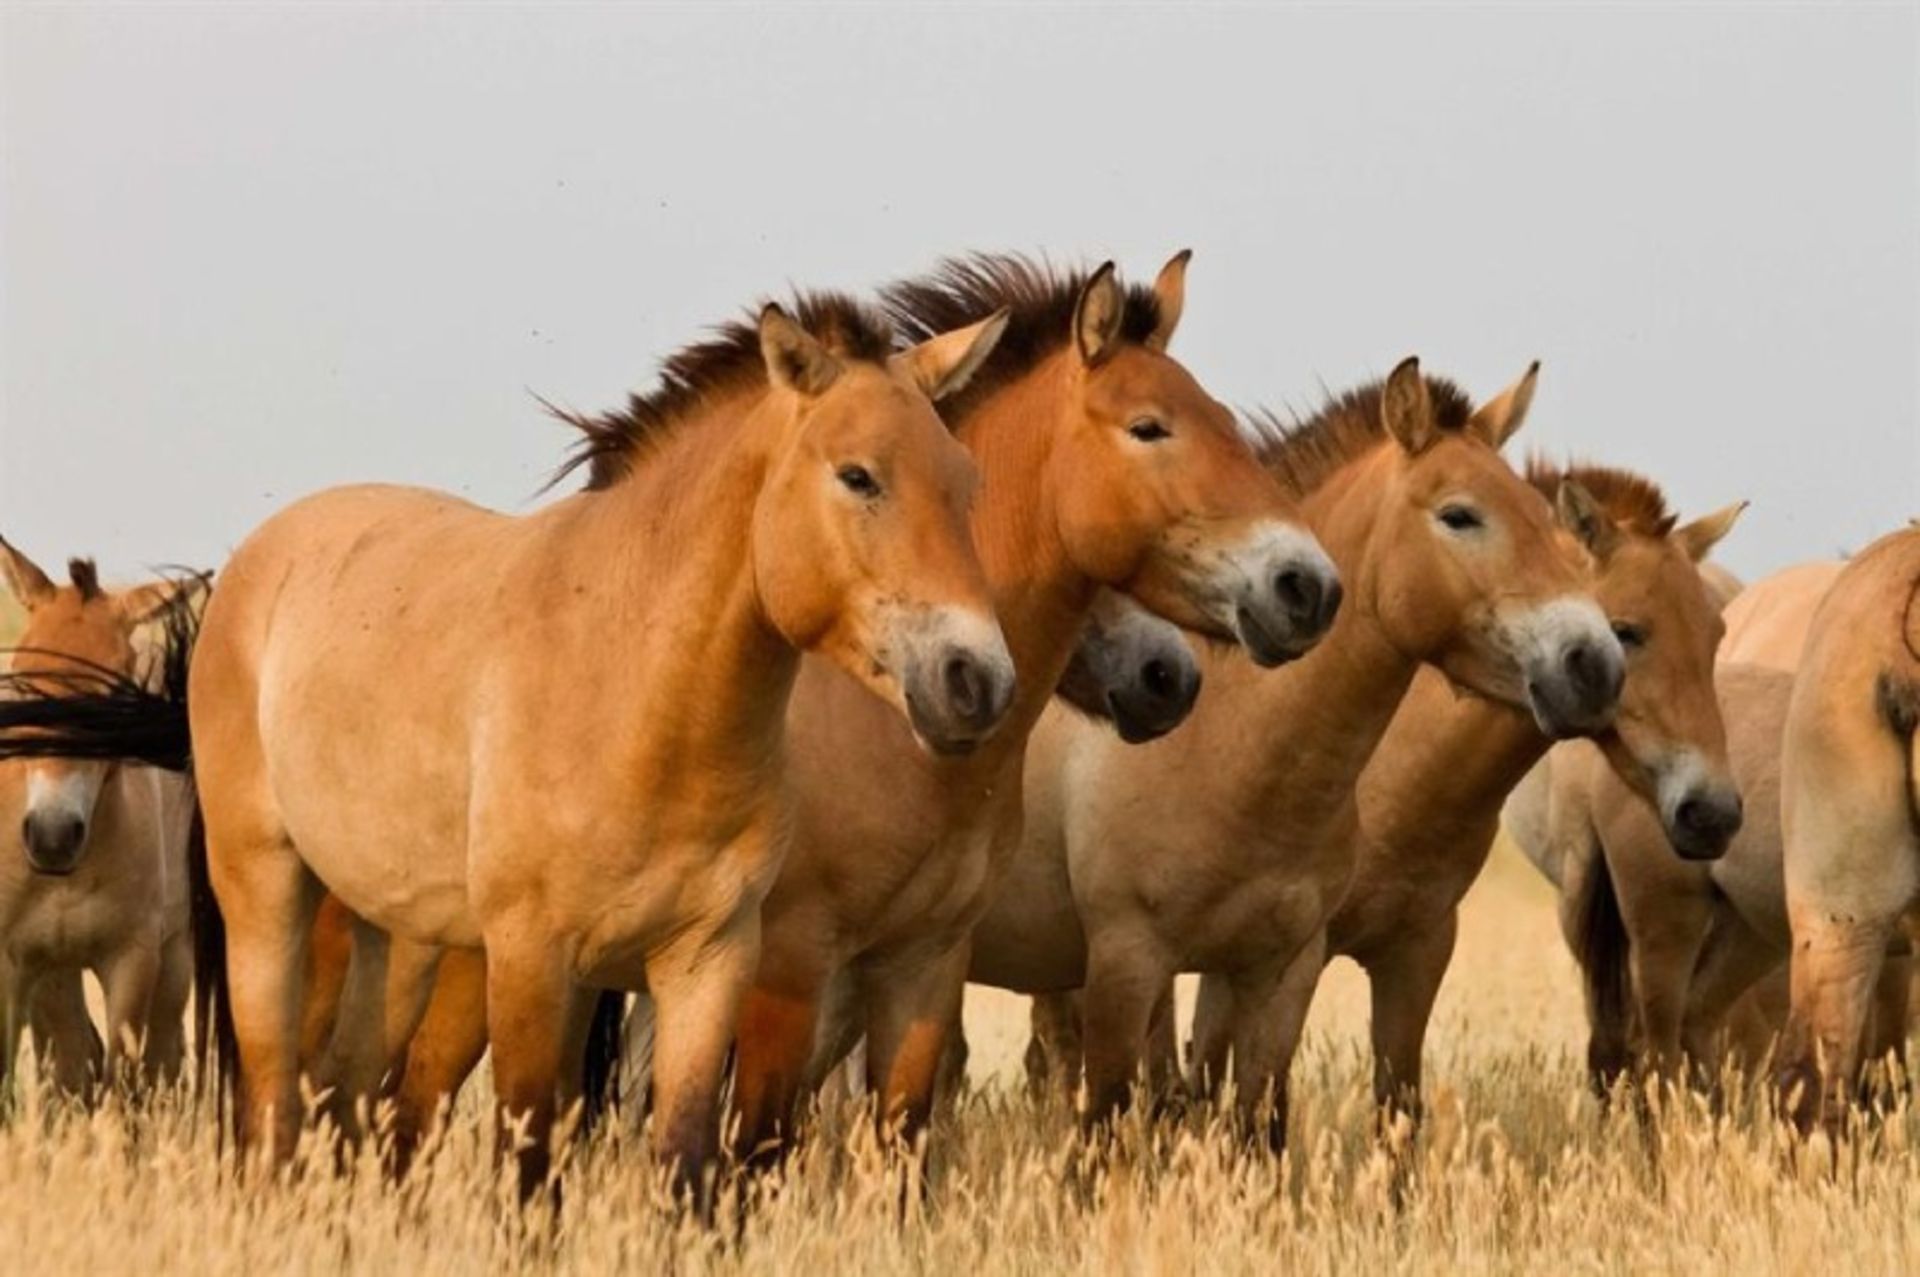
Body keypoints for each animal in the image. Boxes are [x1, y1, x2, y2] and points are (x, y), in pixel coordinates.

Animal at [0, 542, 202, 1096]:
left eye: (114, 697)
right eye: (23, 684)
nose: (52, 836)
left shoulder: (132, 960)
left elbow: (122, 1077)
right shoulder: (19, 962)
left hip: (174, 960)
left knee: (159, 1059)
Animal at [186, 293, 1015, 1201]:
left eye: (966, 483)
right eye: (858, 476)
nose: (976, 679)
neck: (635, 692)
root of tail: (253, 562)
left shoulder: (708, 960)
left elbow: (684, 1159)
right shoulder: (532, 959)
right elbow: (526, 1166)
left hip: (385, 933)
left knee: (346, 1100)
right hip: (267, 895)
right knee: (276, 1102)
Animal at [967, 358, 1623, 1147]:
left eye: (1538, 511)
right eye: (1459, 514)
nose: (1594, 663)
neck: (1227, 746)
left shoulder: (1281, 971)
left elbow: (1259, 1124)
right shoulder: (1128, 964)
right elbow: (1107, 1123)